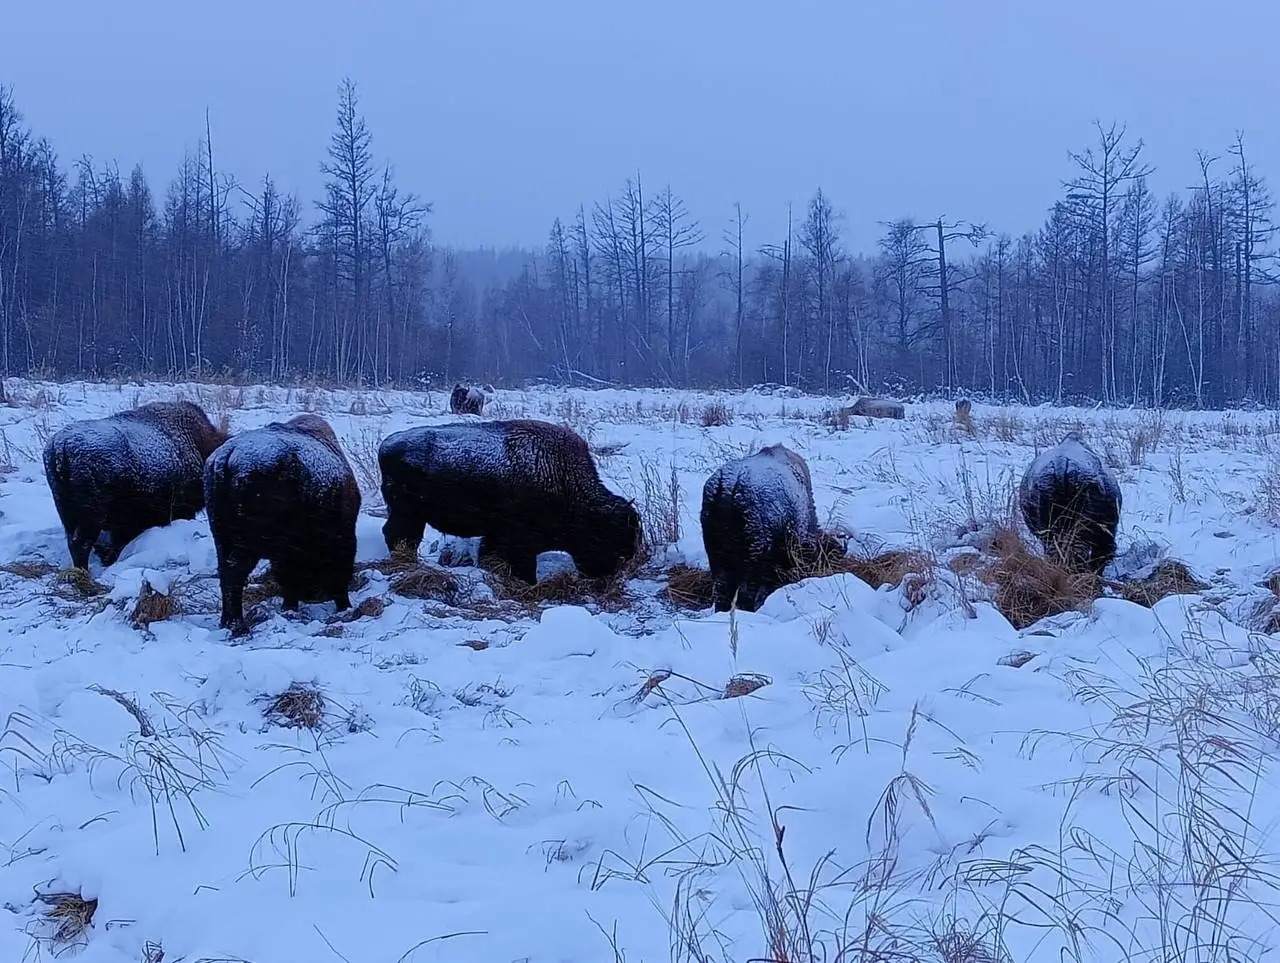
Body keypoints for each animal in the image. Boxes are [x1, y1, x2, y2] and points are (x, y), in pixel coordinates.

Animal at [203, 412, 360, 632]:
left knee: (225, 572)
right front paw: (344, 606)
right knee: (235, 572)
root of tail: (226, 456)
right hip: (247, 544)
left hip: (222, 538)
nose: (313, 594)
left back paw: (226, 621)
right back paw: (238, 625)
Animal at [376, 420, 640, 583]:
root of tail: (387, 445)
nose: (607, 575)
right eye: (607, 538)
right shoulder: (518, 542)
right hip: (408, 513)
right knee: (399, 535)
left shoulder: (497, 535)